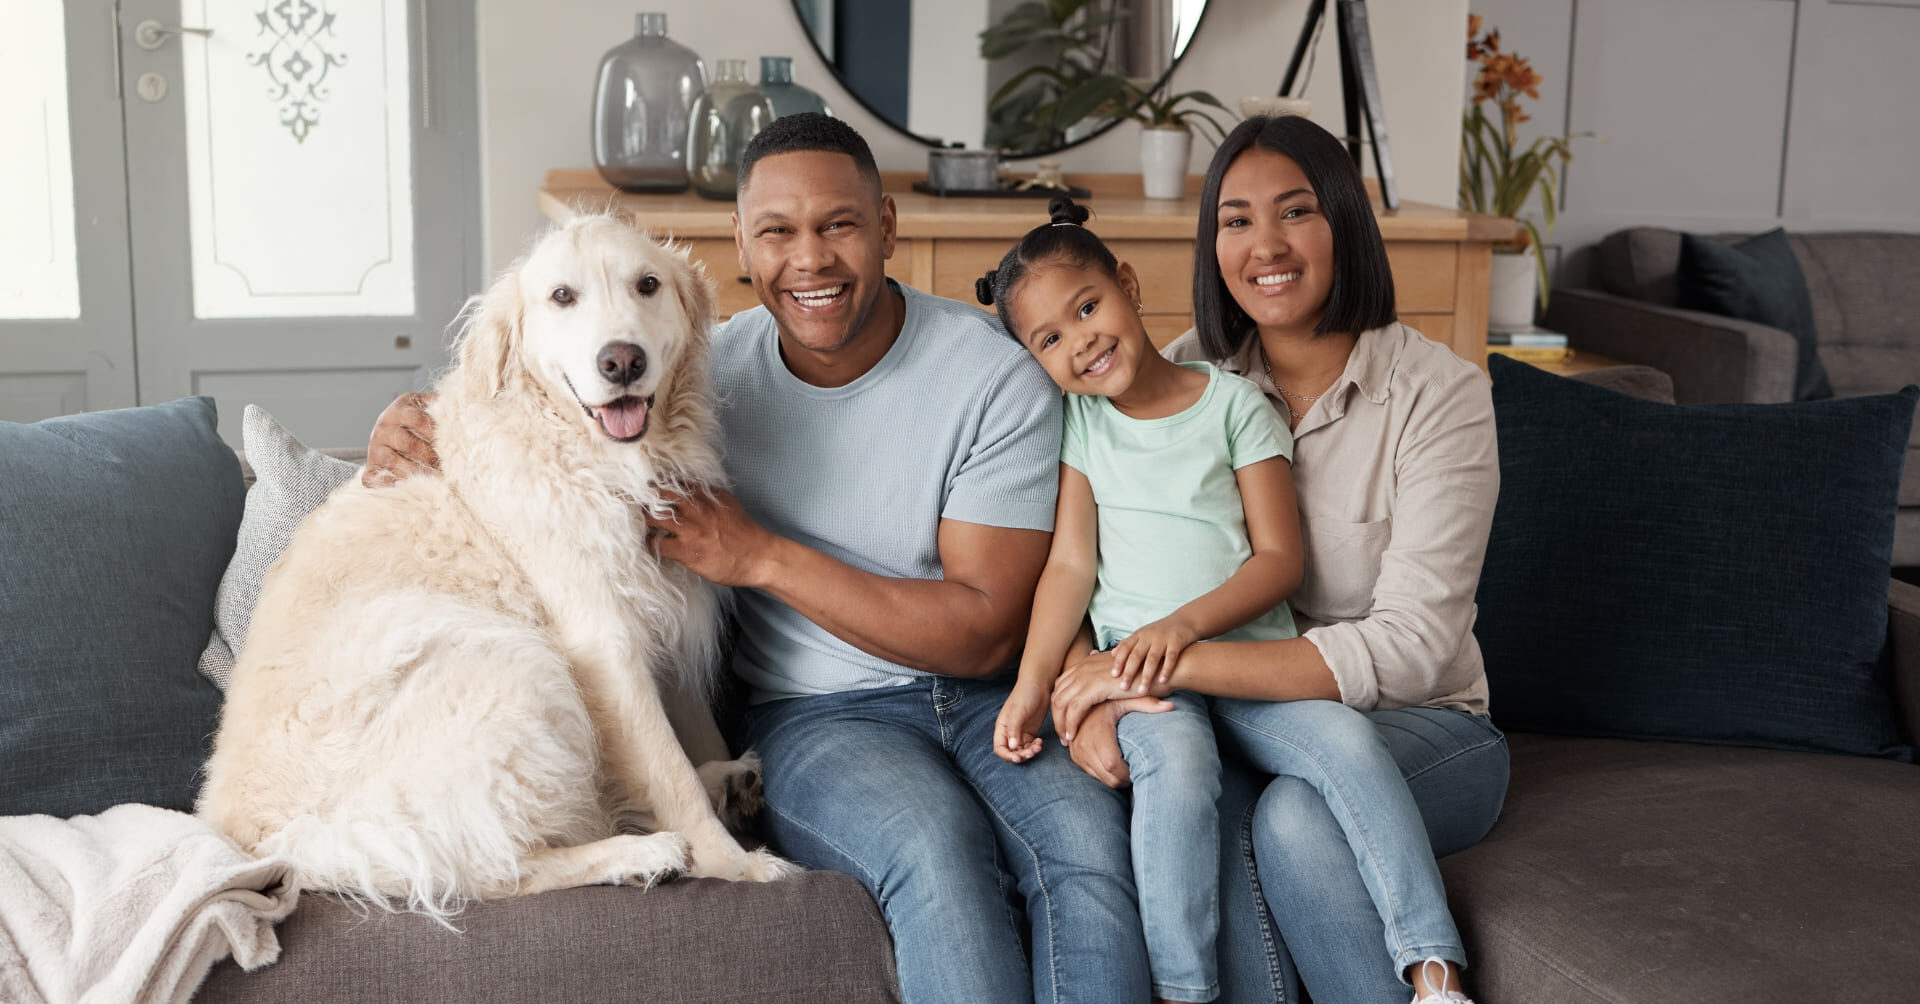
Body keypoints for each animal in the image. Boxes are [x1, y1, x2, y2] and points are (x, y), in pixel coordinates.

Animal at [194, 217, 794, 917]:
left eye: (648, 285)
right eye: (562, 296)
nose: (622, 360)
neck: (591, 457)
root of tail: (267, 845)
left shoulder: (668, 618)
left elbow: (690, 735)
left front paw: (717, 784)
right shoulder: (605, 644)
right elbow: (668, 772)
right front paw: (735, 863)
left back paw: (725, 782)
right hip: (512, 665)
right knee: (494, 868)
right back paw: (641, 854)